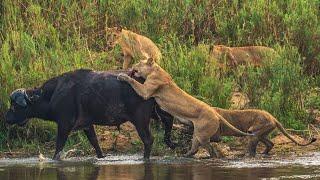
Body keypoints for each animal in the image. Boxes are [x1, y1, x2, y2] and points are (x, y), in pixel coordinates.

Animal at [4, 69, 175, 160]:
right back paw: (170, 142)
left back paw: (145, 157)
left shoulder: (64, 125)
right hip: (156, 112)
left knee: (148, 139)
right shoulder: (87, 125)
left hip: (140, 119)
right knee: (168, 120)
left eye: (14, 106)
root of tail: (146, 83)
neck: (52, 95)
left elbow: (59, 146)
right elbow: (95, 143)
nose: (6, 117)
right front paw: (102, 157)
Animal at [116, 57, 254, 158]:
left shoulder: (146, 91)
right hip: (197, 133)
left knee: (211, 149)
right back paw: (185, 155)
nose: (132, 66)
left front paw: (123, 76)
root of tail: (215, 112)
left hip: (202, 134)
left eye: (139, 62)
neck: (156, 70)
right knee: (196, 148)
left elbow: (134, 82)